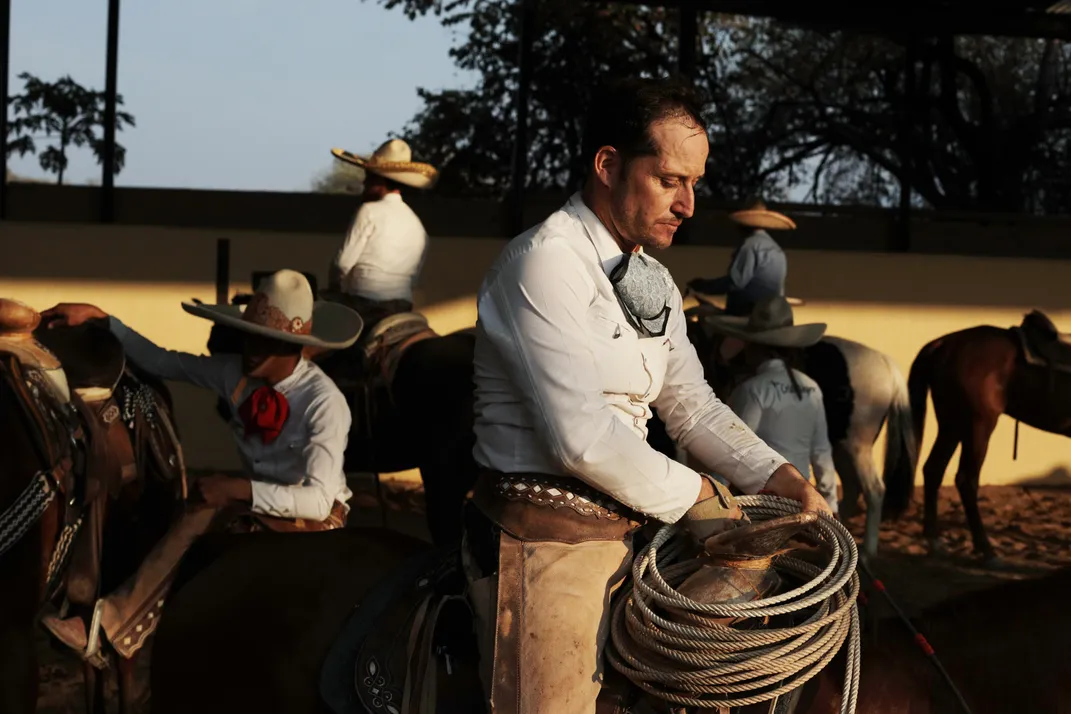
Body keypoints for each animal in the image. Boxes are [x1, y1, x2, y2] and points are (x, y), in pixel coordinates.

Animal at [895, 312, 1071, 565]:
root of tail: (943, 343)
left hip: (952, 425)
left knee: (933, 470)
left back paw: (935, 542)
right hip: (978, 426)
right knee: (966, 479)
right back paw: (986, 549)